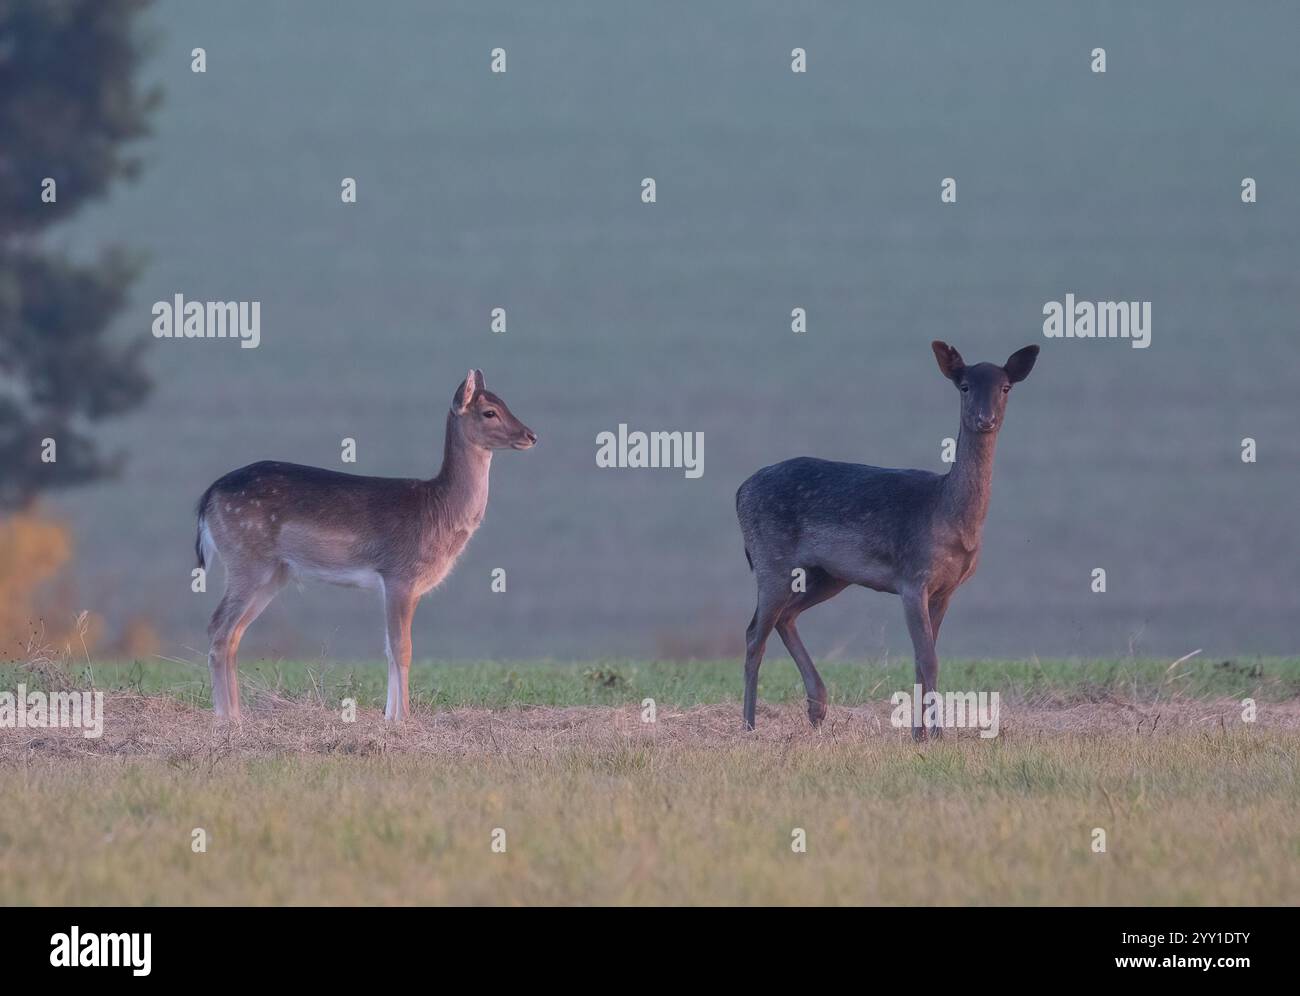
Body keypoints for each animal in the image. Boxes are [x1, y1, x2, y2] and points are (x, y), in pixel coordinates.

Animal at [194, 369, 537, 722]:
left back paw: (236, 714)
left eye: (505, 402)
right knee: (218, 627)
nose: (531, 435)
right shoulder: (399, 574)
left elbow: (389, 648)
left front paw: (390, 715)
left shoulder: (404, 585)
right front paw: (403, 718)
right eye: (489, 412)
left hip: (273, 574)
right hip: (247, 560)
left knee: (233, 633)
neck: (439, 511)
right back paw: (226, 717)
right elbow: (402, 647)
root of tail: (207, 499)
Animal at [735, 341, 1039, 739]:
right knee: (755, 633)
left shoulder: (946, 589)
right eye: (964, 386)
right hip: (771, 557)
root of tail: (740, 491)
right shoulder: (912, 579)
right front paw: (935, 735)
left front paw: (920, 734)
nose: (985, 419)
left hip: (828, 575)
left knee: (785, 617)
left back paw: (817, 708)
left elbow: (922, 658)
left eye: (1005, 387)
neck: (947, 514)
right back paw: (748, 725)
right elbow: (928, 657)